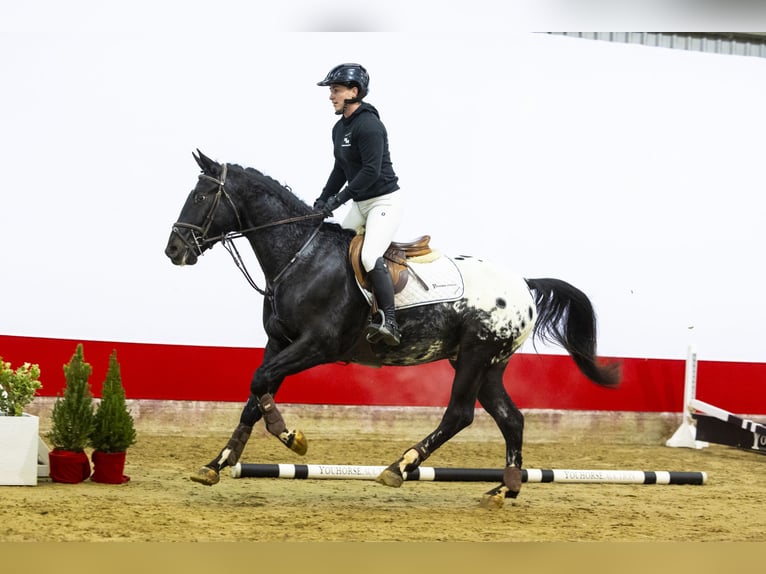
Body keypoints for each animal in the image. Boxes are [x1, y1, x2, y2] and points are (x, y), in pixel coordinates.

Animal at [165, 151, 620, 510]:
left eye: (200, 197)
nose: (174, 250)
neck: (300, 255)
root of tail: (524, 284)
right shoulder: (278, 341)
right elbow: (254, 395)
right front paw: (216, 464)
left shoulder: (317, 345)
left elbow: (260, 383)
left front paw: (291, 437)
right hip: (487, 362)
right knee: (512, 419)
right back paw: (501, 490)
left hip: (474, 357)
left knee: (459, 414)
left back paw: (400, 467)